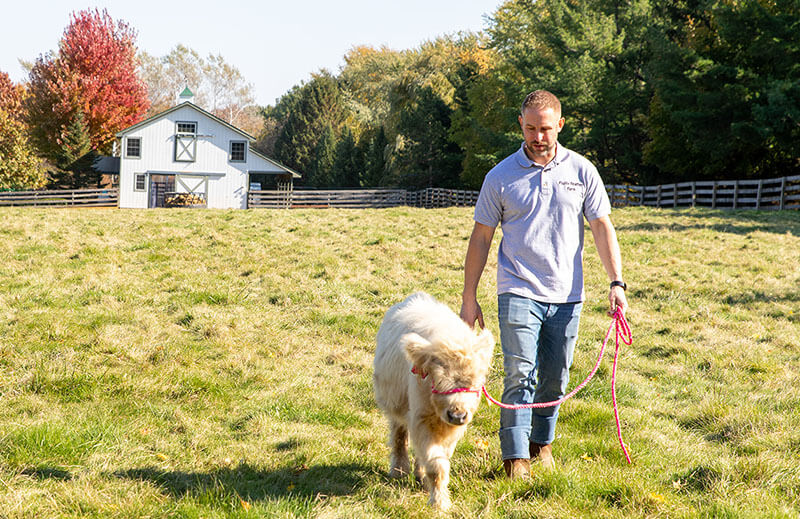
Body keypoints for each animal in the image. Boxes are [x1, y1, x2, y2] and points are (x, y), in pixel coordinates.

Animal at [376, 292, 494, 512]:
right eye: (438, 380)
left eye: (474, 382)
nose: (457, 415)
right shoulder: (420, 418)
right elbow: (436, 466)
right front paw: (439, 503)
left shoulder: (450, 430)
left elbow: (439, 458)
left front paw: (427, 484)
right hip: (396, 402)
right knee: (398, 434)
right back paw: (398, 470)